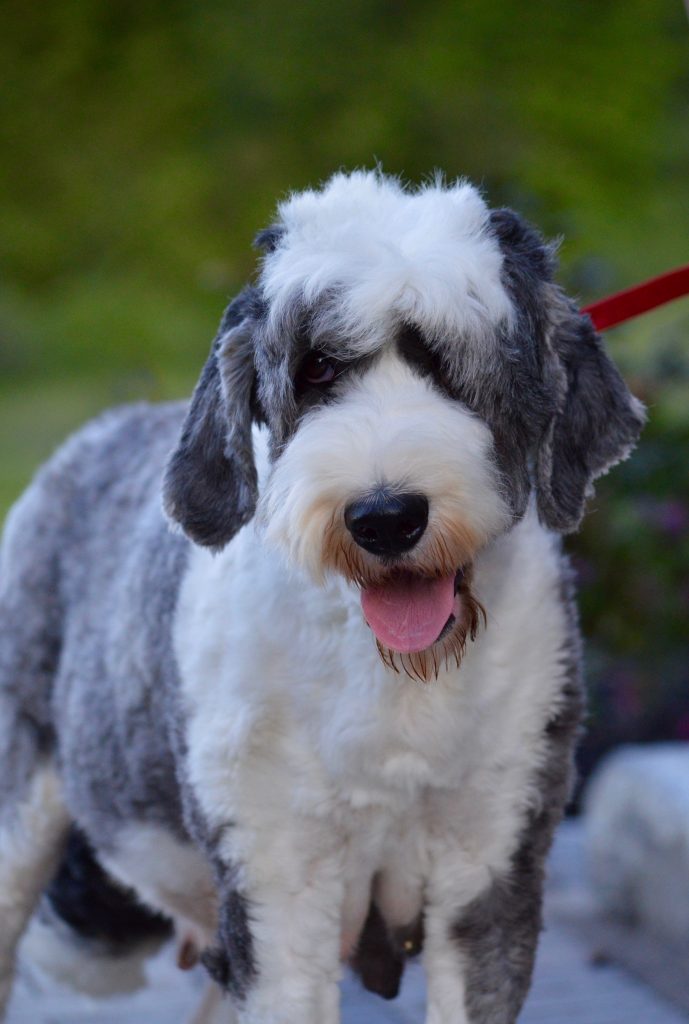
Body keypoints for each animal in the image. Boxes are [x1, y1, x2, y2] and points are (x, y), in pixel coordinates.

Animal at [0, 172, 647, 1019]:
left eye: (450, 365)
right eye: (314, 371)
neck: (394, 675)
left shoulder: (491, 866)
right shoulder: (275, 879)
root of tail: (92, 436)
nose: (385, 516)